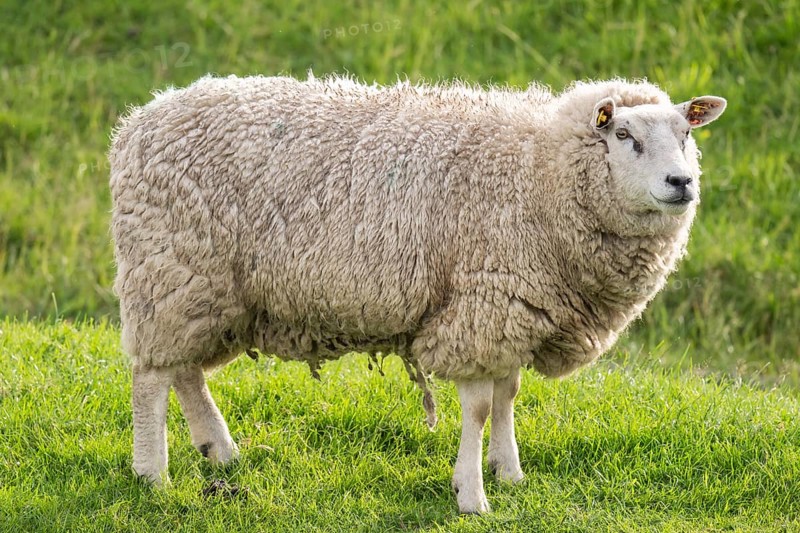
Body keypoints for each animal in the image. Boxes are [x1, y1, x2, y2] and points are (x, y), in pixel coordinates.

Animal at [109, 74, 726, 513]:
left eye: (687, 134)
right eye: (624, 136)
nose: (682, 183)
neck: (538, 170)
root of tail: (138, 123)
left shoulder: (513, 307)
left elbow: (508, 394)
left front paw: (509, 472)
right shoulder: (482, 305)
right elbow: (479, 407)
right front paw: (472, 495)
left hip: (203, 289)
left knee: (183, 369)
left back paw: (220, 453)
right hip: (171, 267)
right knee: (151, 378)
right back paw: (153, 475)